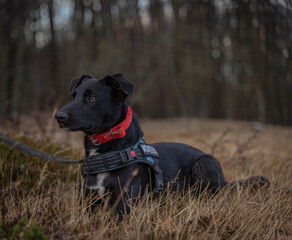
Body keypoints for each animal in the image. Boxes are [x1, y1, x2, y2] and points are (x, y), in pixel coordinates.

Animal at [55, 74, 270, 215]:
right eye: (74, 96)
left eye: (91, 98)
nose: (59, 116)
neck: (108, 152)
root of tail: (226, 182)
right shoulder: (86, 203)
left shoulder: (125, 206)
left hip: (205, 162)